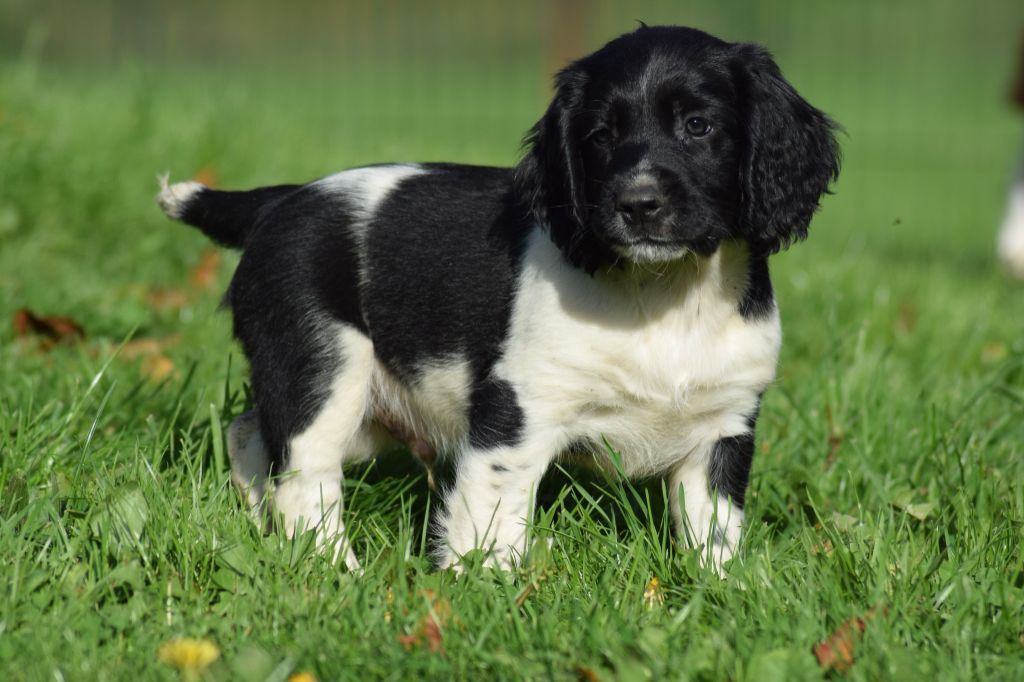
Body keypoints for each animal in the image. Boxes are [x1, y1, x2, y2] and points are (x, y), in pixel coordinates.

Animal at [155, 25, 835, 569]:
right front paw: (485, 593)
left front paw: (719, 594)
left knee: (250, 434)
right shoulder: (519, 410)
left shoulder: (724, 426)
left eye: (698, 126)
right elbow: (493, 519)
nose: (636, 204)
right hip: (324, 366)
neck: (665, 294)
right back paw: (334, 573)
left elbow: (715, 535)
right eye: (598, 136)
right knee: (304, 472)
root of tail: (279, 200)